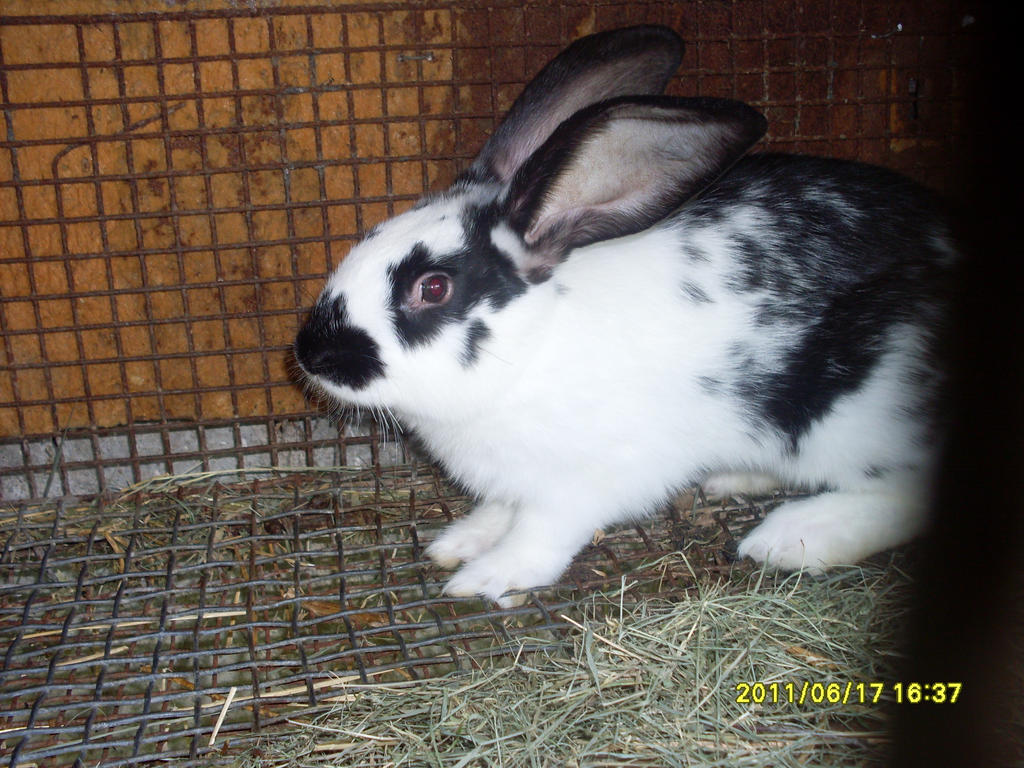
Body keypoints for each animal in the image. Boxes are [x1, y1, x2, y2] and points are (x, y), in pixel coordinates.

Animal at [294, 25, 956, 607]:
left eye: (432, 288)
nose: (310, 354)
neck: (529, 349)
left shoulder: (581, 485)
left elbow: (541, 535)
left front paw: (489, 576)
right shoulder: (514, 481)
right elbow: (499, 511)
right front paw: (459, 541)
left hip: (851, 418)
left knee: (907, 492)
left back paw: (791, 537)